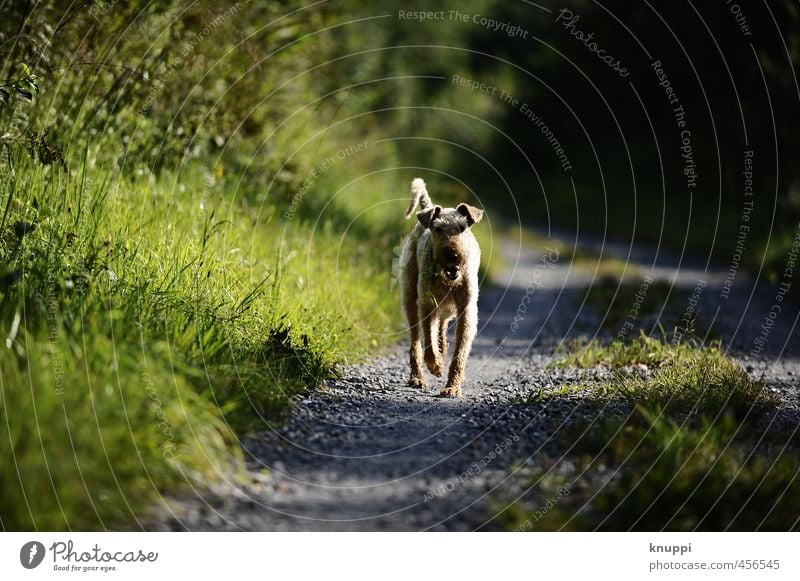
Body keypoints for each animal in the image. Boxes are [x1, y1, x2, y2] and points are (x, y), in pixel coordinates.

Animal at [398, 177, 482, 396]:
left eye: (462, 228)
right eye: (438, 229)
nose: (453, 256)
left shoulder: (466, 310)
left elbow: (460, 352)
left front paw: (453, 386)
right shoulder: (427, 304)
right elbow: (428, 339)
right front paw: (435, 365)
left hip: (446, 309)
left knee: (441, 330)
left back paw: (442, 352)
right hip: (411, 298)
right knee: (416, 342)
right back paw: (418, 377)